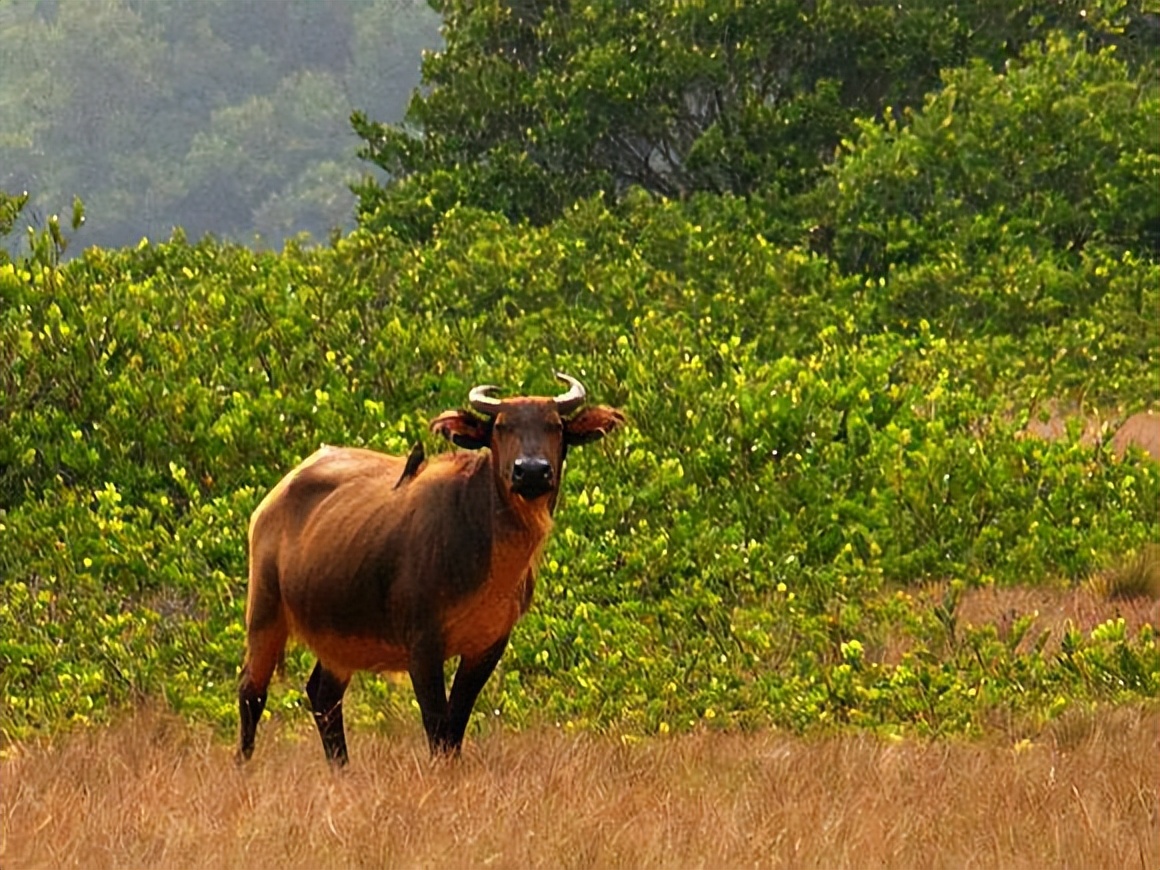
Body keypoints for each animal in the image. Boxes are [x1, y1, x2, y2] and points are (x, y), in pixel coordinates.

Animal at [234, 375, 626, 760]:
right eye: (501, 426)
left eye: (554, 426)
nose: (531, 471)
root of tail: (271, 502)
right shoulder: (422, 645)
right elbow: (437, 725)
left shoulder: (489, 645)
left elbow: (456, 724)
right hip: (265, 613)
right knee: (252, 691)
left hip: (337, 638)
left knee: (323, 696)